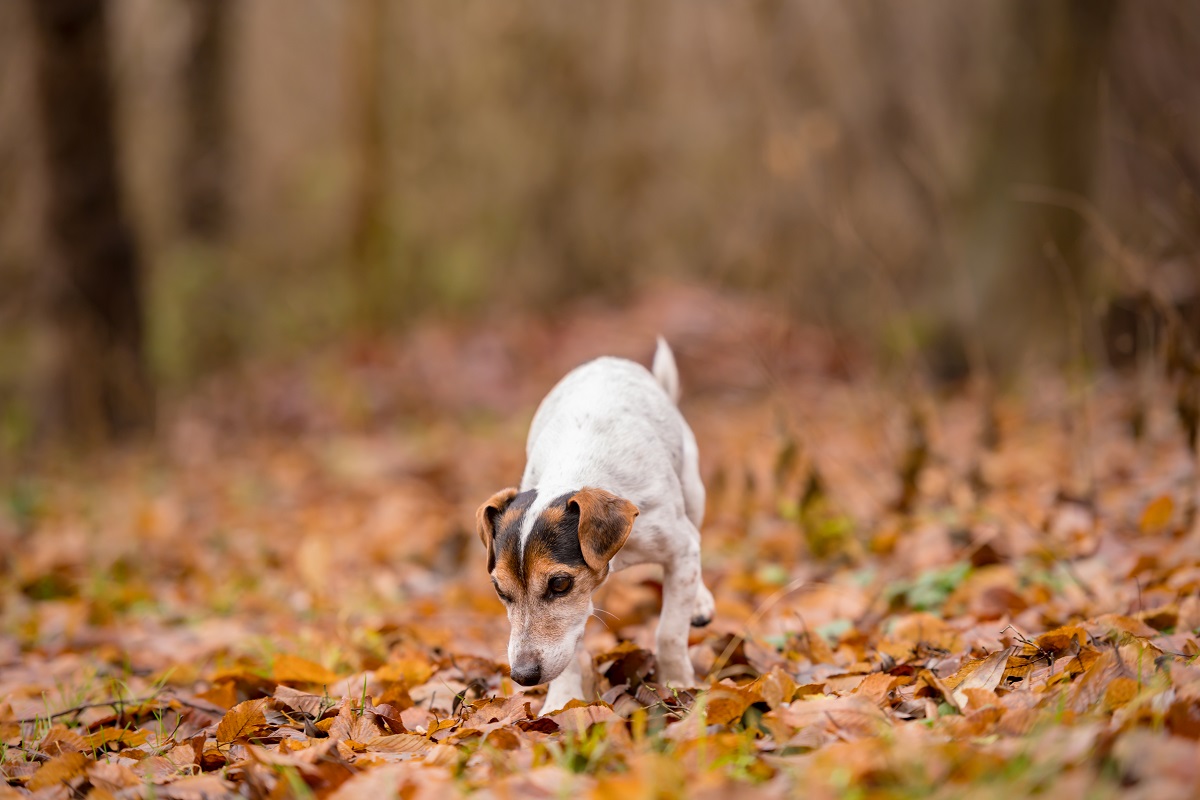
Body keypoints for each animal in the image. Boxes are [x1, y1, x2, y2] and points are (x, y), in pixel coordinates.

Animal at [472, 338, 705, 714]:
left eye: (560, 583)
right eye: (500, 591)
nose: (522, 676)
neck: (576, 468)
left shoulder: (679, 550)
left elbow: (669, 631)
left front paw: (678, 685)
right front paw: (560, 702)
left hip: (693, 490)